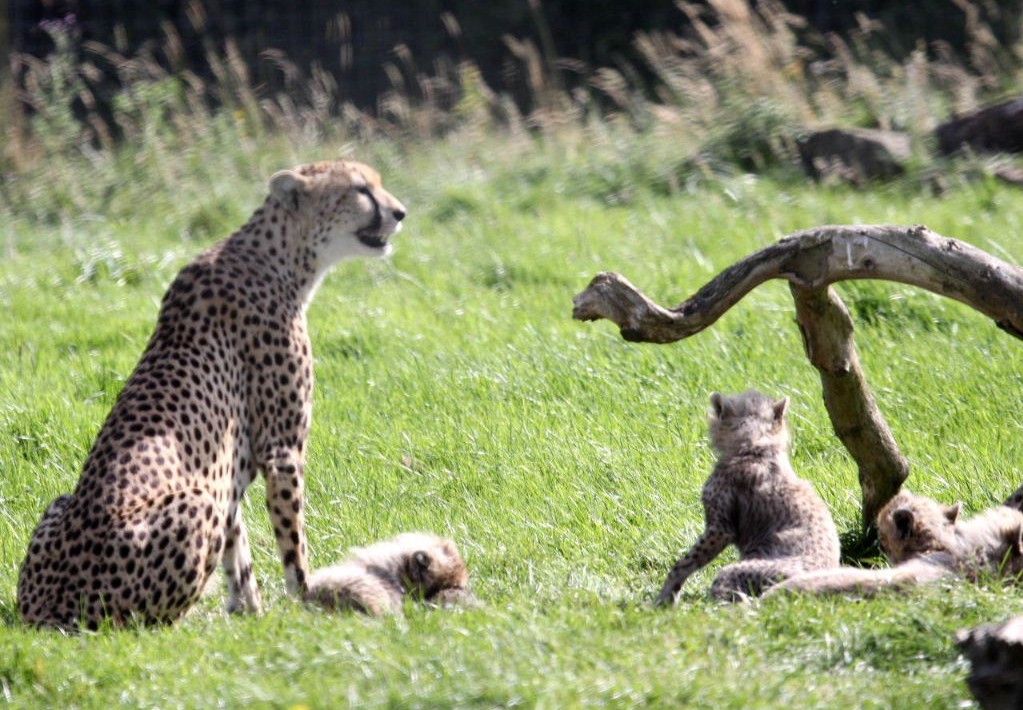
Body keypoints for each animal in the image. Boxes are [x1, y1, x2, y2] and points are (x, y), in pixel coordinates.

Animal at [17, 159, 406, 629]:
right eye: (360, 190)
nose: (400, 212)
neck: (281, 255)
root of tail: (45, 613)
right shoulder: (281, 451)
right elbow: (293, 544)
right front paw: (305, 606)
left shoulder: (228, 468)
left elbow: (238, 551)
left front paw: (251, 614)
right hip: (191, 508)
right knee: (146, 623)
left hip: (61, 504)